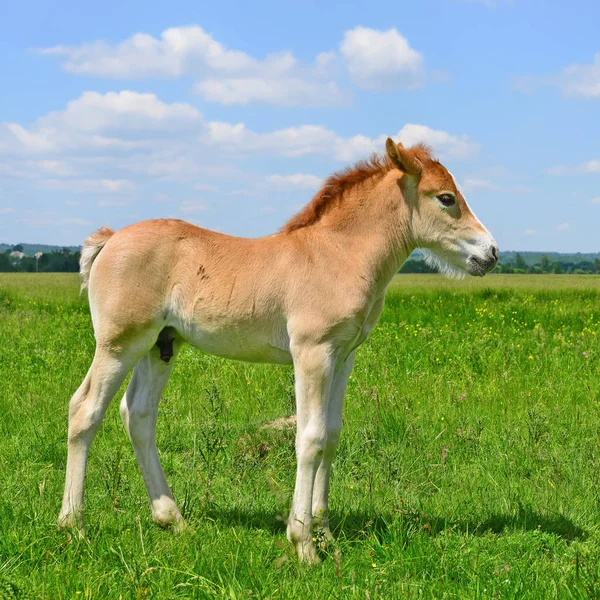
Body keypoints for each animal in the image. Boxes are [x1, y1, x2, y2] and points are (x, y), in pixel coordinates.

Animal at [57, 139, 496, 564]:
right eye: (445, 198)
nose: (490, 254)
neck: (337, 255)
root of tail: (111, 238)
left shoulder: (344, 356)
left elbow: (331, 435)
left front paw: (325, 533)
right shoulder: (312, 353)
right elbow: (310, 437)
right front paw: (304, 544)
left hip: (161, 346)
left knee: (139, 414)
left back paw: (173, 519)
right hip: (120, 343)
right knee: (85, 409)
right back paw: (73, 525)